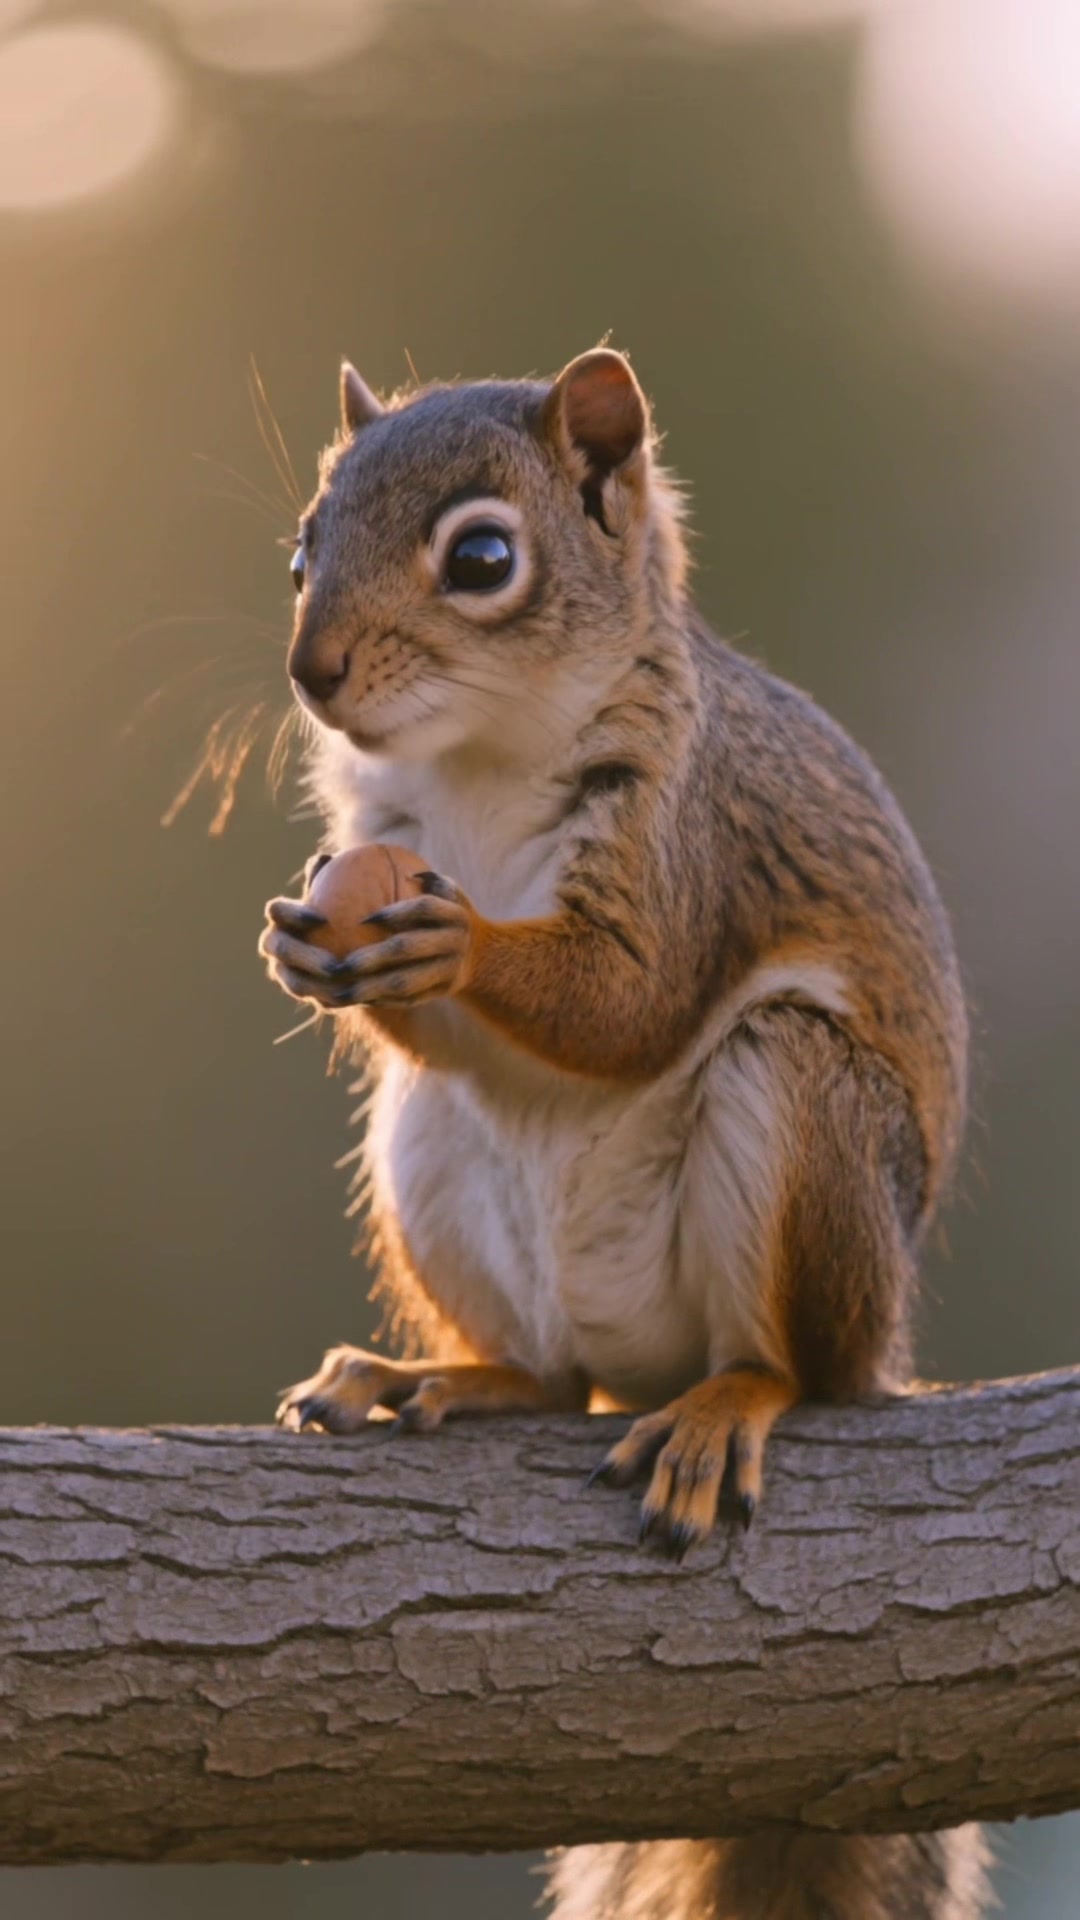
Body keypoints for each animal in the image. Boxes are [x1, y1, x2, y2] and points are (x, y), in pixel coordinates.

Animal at [258, 349, 991, 1920]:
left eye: (483, 560)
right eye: (299, 551)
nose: (311, 671)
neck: (478, 760)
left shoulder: (686, 835)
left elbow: (630, 1005)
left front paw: (464, 947)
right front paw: (302, 942)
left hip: (805, 1119)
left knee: (793, 1366)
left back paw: (726, 1409)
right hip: (427, 1158)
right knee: (550, 1376)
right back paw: (442, 1379)